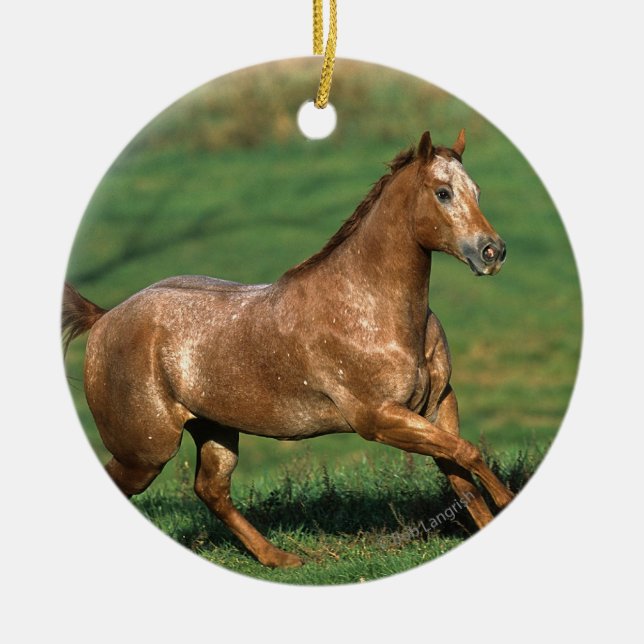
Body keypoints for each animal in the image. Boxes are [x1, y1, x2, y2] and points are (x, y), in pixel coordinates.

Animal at [62, 129, 512, 568]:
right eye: (442, 192)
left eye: (476, 190)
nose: (492, 251)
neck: (368, 307)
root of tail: (104, 318)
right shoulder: (379, 418)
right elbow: (468, 453)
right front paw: (507, 499)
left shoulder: (437, 404)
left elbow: (460, 471)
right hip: (146, 450)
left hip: (214, 429)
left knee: (211, 489)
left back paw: (279, 558)